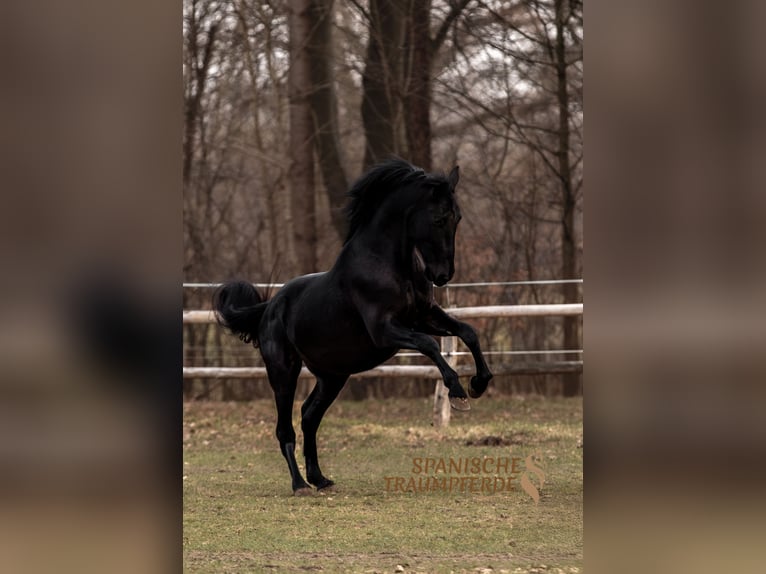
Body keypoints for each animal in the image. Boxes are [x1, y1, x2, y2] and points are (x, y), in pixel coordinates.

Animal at [213, 158, 493, 495]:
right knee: (285, 429)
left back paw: (320, 479)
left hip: (332, 377)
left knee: (309, 417)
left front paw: (479, 383)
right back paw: (300, 485)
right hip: (283, 373)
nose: (442, 275)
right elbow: (429, 345)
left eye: (458, 217)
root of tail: (269, 308)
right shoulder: (385, 330)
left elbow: (467, 332)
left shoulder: (424, 316)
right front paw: (458, 392)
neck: (389, 265)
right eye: (439, 219)